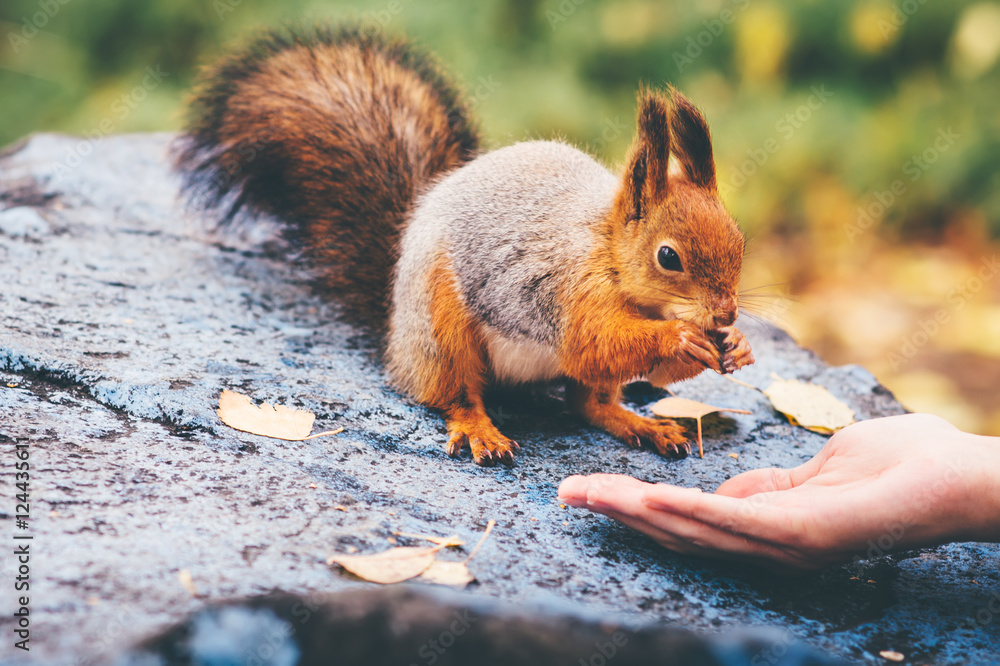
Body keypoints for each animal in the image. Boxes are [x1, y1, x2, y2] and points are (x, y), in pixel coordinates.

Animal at [176, 24, 752, 462]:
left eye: (740, 239)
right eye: (668, 256)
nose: (725, 314)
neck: (609, 254)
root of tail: (395, 329)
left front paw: (735, 346)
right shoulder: (568, 291)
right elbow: (593, 342)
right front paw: (679, 337)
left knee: (588, 403)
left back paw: (642, 424)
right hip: (440, 328)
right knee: (454, 395)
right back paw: (480, 430)